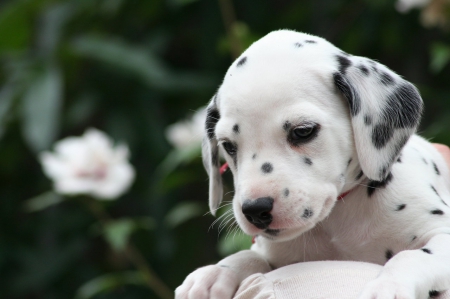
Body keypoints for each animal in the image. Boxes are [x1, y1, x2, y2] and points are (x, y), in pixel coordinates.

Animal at [176, 29, 450, 299]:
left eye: (303, 131)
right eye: (228, 146)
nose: (255, 210)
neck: (338, 223)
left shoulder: (441, 234)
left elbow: (410, 257)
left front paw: (387, 286)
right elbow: (250, 256)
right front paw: (216, 273)